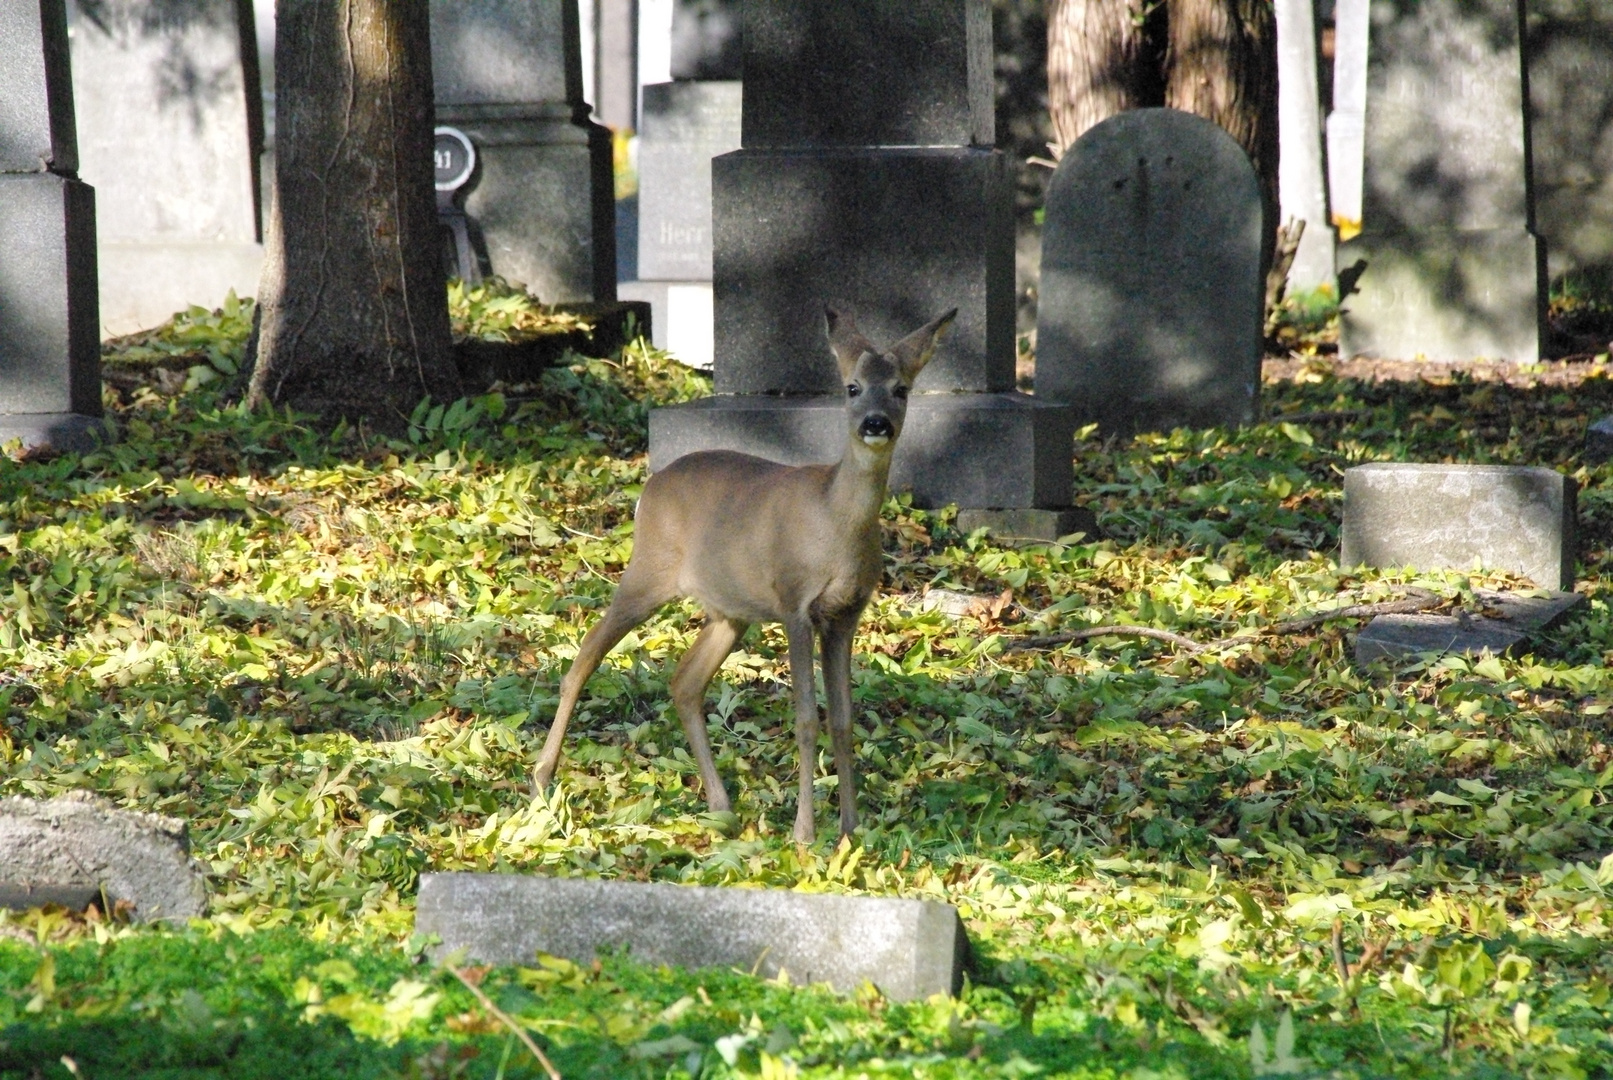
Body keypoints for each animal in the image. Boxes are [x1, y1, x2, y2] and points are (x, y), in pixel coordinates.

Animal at [535, 306, 948, 844]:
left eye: (901, 389)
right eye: (852, 387)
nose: (875, 423)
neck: (834, 522)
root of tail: (649, 488)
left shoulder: (845, 615)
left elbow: (842, 719)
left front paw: (851, 830)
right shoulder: (794, 602)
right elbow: (806, 719)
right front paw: (804, 834)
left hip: (729, 612)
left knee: (684, 682)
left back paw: (720, 804)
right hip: (648, 570)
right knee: (585, 654)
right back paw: (542, 778)